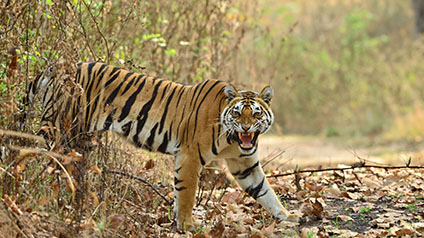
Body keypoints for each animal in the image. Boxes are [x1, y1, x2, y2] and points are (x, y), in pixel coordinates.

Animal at [26, 61, 298, 231]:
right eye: (238, 113)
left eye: (256, 114)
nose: (246, 128)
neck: (231, 139)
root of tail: (59, 66)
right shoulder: (190, 155)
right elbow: (187, 193)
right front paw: (187, 225)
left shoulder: (245, 165)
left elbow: (265, 191)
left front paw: (287, 216)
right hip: (58, 127)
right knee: (38, 154)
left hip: (80, 138)